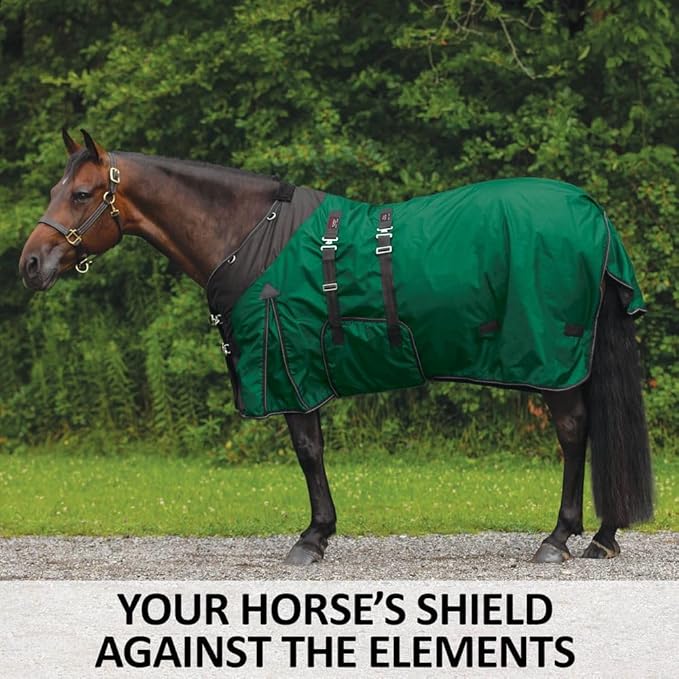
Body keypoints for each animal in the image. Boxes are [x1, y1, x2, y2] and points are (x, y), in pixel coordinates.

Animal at [19, 129, 654, 566]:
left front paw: (313, 537)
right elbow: (314, 451)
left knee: (574, 432)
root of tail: (593, 216)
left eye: (81, 194)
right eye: (54, 190)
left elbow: (308, 451)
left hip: (554, 361)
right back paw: (602, 536)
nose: (29, 264)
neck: (249, 237)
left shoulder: (290, 368)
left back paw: (561, 537)